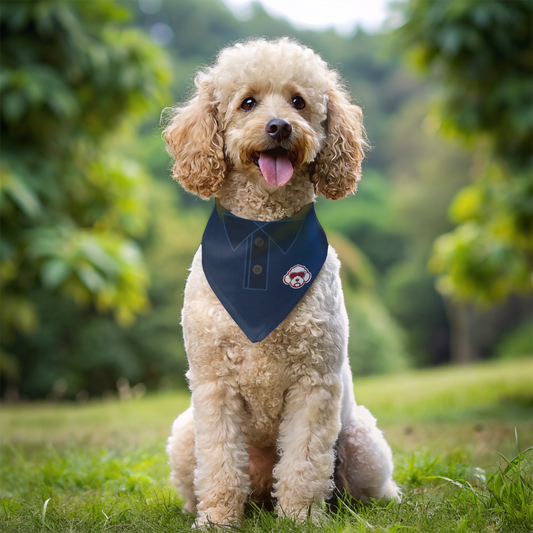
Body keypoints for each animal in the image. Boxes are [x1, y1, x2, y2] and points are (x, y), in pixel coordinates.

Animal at [164, 38, 396, 528]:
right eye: (247, 102)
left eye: (299, 101)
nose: (279, 126)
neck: (263, 234)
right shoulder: (214, 385)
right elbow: (219, 461)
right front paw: (217, 519)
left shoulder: (314, 382)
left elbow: (304, 462)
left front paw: (302, 517)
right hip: (184, 434)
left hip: (361, 441)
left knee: (368, 487)